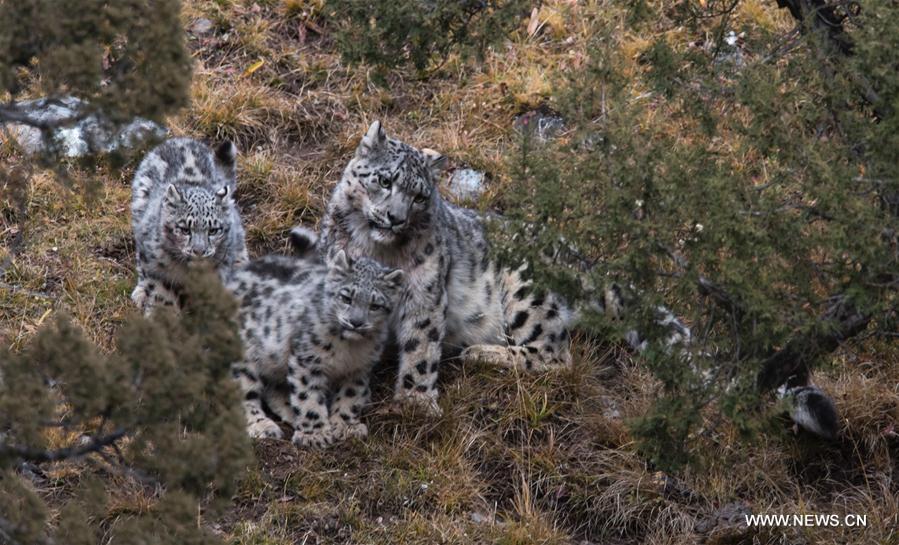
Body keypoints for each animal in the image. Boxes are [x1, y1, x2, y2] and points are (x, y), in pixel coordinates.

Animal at [131, 138, 250, 312]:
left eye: (213, 230)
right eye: (184, 229)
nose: (199, 251)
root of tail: (180, 139)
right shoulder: (159, 270)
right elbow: (162, 296)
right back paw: (140, 293)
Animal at [227, 246, 406, 446]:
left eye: (375, 305)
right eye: (346, 297)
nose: (356, 322)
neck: (348, 348)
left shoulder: (359, 368)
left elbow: (350, 395)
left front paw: (345, 427)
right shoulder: (308, 360)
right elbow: (308, 396)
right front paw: (315, 435)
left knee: (274, 390)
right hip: (244, 358)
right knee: (243, 393)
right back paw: (263, 426)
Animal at [320, 122, 572, 412]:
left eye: (419, 197)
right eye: (385, 181)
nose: (396, 218)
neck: (379, 251)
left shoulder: (424, 290)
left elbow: (420, 345)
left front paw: (416, 402)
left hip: (526, 291)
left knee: (556, 355)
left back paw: (480, 353)